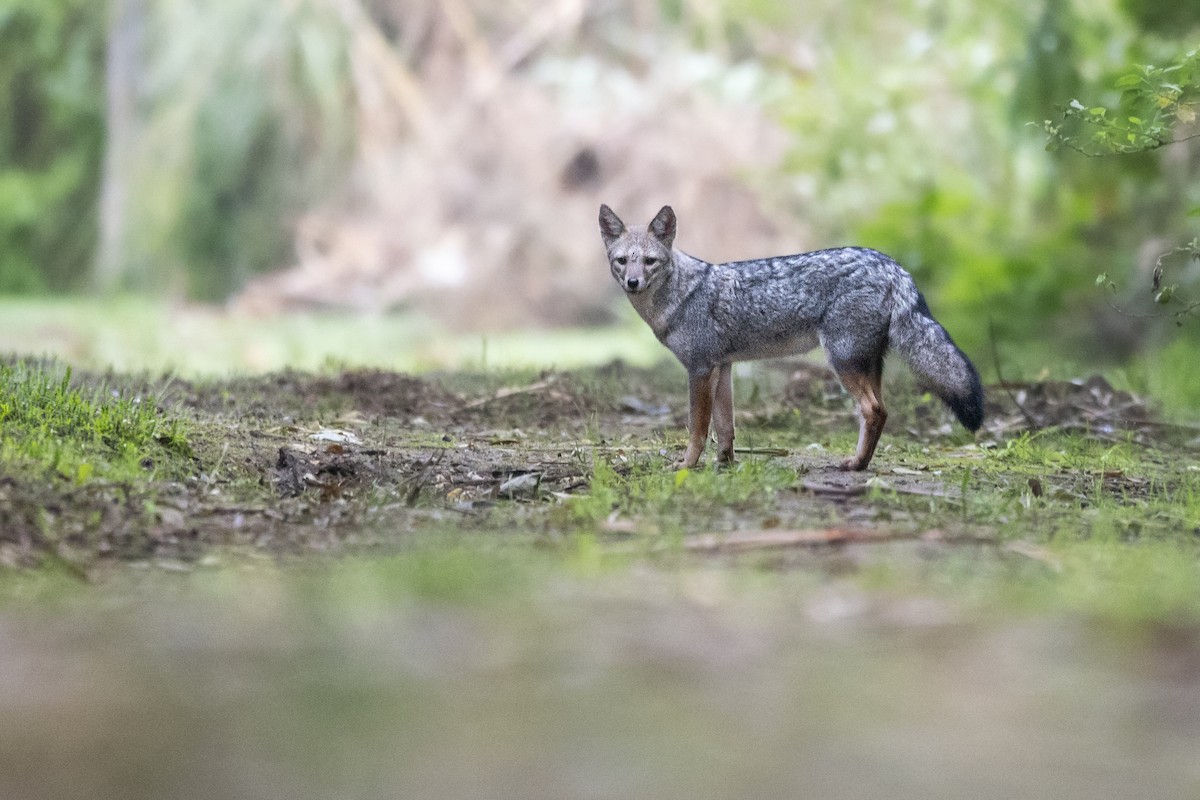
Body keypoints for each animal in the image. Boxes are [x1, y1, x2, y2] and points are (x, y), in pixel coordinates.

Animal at [598, 204, 984, 471]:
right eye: (622, 261)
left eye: (649, 261)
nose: (633, 282)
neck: (679, 295)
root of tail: (892, 264)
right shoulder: (723, 368)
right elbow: (725, 427)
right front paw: (725, 464)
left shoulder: (700, 369)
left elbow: (698, 427)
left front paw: (687, 466)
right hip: (865, 365)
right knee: (878, 412)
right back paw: (859, 462)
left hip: (842, 362)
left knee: (874, 410)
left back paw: (857, 466)